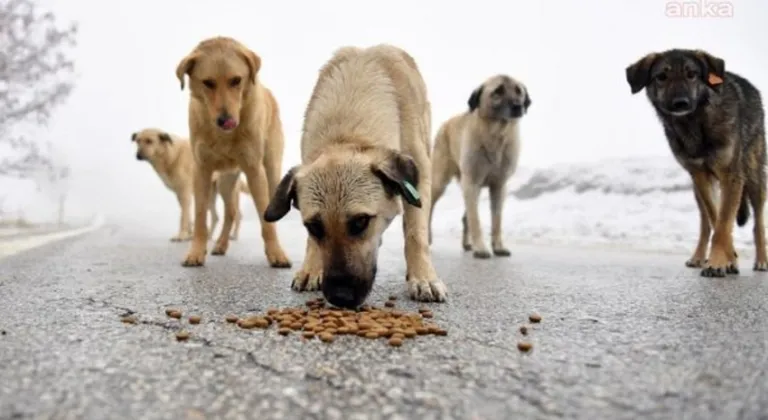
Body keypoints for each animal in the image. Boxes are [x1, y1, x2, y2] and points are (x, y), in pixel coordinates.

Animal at [174, 35, 292, 266]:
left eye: (236, 80)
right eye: (208, 83)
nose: (225, 120)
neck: (224, 136)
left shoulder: (255, 170)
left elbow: (266, 219)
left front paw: (276, 252)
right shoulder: (201, 170)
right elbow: (200, 217)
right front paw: (196, 251)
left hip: (271, 170)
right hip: (225, 180)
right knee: (231, 212)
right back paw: (220, 244)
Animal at [428, 75, 532, 260]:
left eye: (518, 91)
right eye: (498, 91)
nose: (518, 106)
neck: (496, 134)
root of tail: (446, 123)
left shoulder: (498, 185)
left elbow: (496, 220)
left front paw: (498, 246)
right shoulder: (472, 182)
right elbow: (475, 219)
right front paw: (481, 248)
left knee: (466, 217)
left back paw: (466, 243)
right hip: (440, 181)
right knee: (431, 208)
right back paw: (427, 237)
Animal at [628, 48, 764, 276]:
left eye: (691, 74)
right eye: (661, 77)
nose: (680, 103)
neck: (694, 124)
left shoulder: (731, 176)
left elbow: (724, 222)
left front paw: (719, 261)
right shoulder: (700, 176)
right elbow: (717, 220)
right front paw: (728, 259)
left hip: (754, 179)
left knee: (758, 223)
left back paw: (762, 260)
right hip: (698, 190)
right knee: (706, 223)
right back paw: (700, 257)